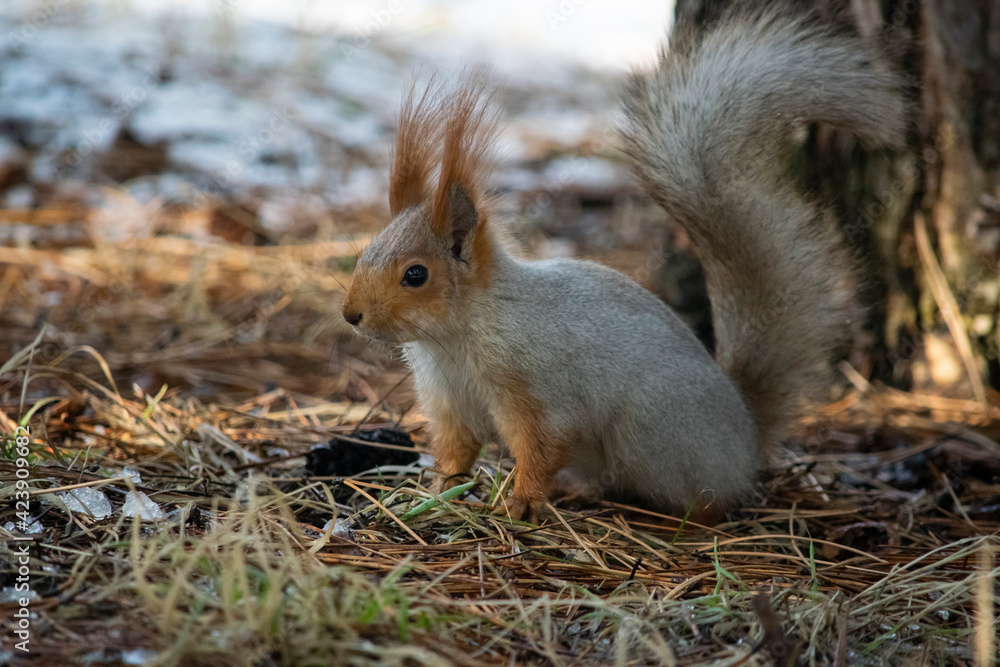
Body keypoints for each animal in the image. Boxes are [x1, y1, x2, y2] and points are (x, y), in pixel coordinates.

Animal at [341, 7, 906, 522]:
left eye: (416, 275)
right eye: (367, 250)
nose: (351, 316)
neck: (454, 338)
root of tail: (746, 438)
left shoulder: (541, 386)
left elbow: (544, 445)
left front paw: (521, 501)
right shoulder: (448, 402)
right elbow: (456, 451)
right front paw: (436, 493)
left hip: (650, 432)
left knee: (708, 500)